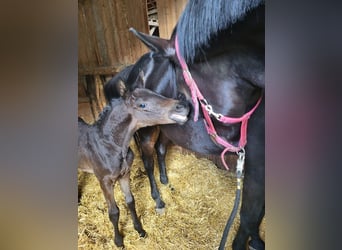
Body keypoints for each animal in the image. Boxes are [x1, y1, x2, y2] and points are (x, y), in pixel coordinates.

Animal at [105, 0, 266, 249]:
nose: (238, 145)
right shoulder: (257, 167)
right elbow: (249, 216)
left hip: (166, 130)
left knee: (161, 151)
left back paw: (166, 183)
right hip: (147, 132)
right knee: (148, 161)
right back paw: (158, 200)